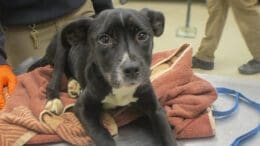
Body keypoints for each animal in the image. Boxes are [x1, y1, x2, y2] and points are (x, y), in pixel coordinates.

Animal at [29, 8, 178, 146]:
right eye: (105, 39)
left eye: (142, 35)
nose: (131, 69)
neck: (119, 88)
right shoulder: (83, 108)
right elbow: (101, 134)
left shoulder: (155, 108)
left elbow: (167, 134)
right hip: (61, 49)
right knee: (55, 76)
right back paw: (54, 99)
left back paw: (73, 85)